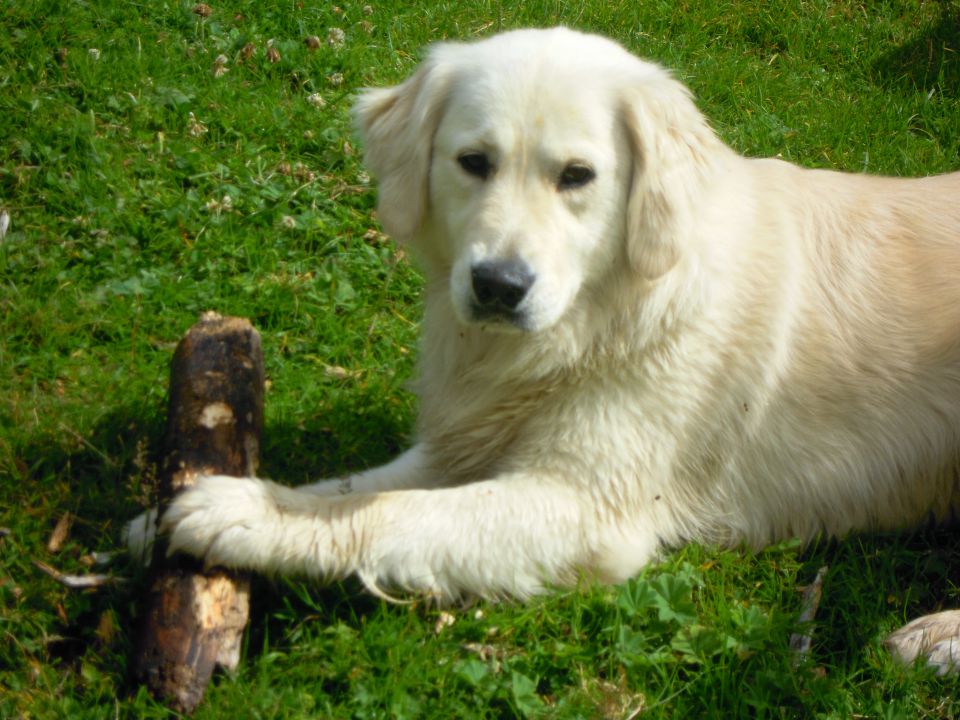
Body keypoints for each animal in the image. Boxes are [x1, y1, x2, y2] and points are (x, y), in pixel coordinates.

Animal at [135, 28, 960, 668]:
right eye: (473, 161)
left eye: (577, 176)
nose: (499, 286)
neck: (598, 318)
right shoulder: (458, 446)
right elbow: (355, 489)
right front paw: (182, 514)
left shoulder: (588, 506)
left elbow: (389, 514)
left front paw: (241, 515)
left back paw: (937, 639)